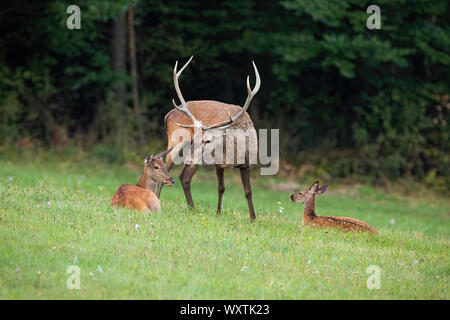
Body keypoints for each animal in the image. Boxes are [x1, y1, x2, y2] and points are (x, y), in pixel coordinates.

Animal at [156, 57, 260, 220]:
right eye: (196, 138)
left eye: (208, 140)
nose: (187, 161)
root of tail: (167, 115)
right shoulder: (218, 162)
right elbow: (221, 188)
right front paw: (218, 213)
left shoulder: (247, 163)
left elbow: (248, 192)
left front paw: (253, 218)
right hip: (176, 141)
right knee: (166, 171)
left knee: (183, 177)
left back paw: (192, 208)